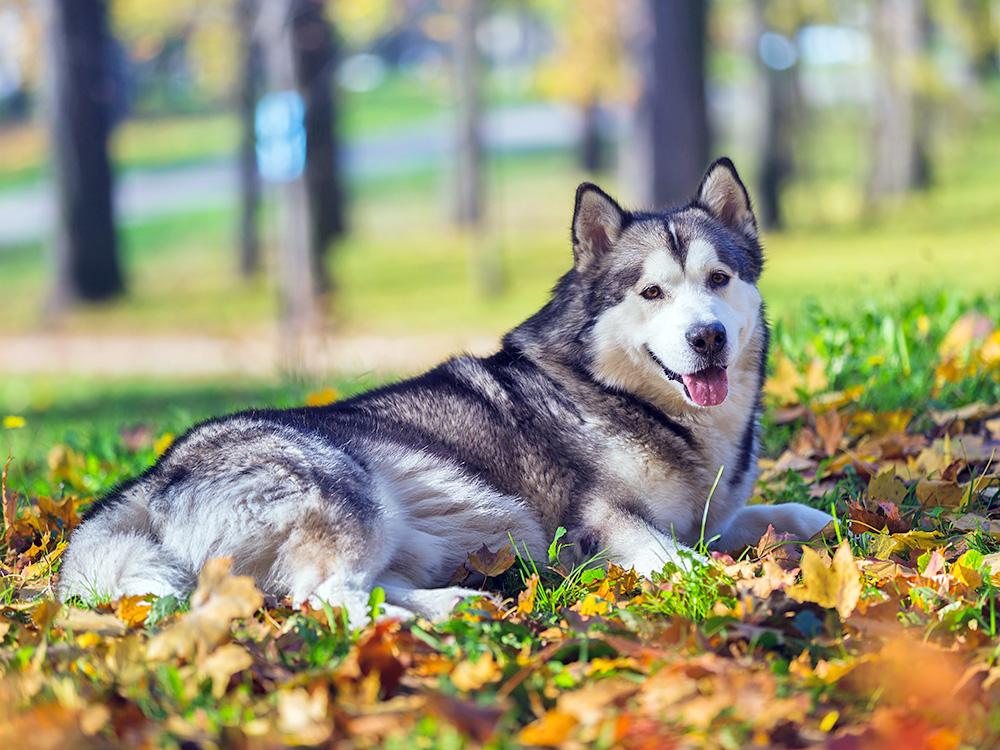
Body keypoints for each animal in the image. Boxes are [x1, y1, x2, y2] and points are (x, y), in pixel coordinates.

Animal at [58, 159, 832, 624]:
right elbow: (682, 560)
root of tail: (152, 476)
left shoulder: (710, 513)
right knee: (327, 601)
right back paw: (421, 622)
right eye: (652, 293)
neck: (625, 397)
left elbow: (778, 511)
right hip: (345, 492)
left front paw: (822, 523)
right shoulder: (601, 525)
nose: (708, 338)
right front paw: (735, 584)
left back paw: (456, 602)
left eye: (719, 280)